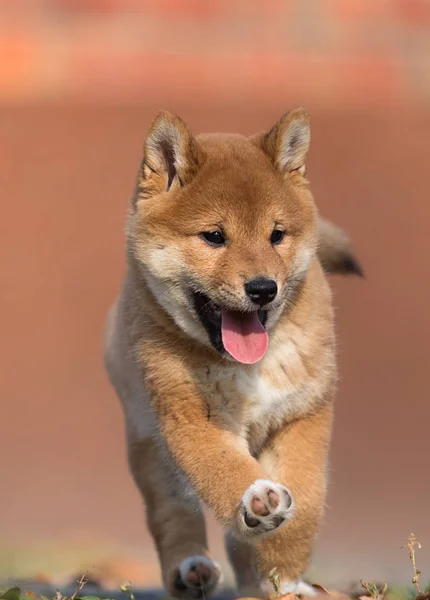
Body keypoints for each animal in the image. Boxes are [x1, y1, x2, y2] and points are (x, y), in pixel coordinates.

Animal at [103, 110, 360, 596]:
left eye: (276, 235)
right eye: (214, 237)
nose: (263, 288)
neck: (245, 367)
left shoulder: (303, 414)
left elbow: (305, 506)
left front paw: (285, 578)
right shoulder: (190, 417)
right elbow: (224, 470)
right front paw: (255, 496)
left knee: (238, 547)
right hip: (150, 448)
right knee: (172, 517)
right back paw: (190, 570)